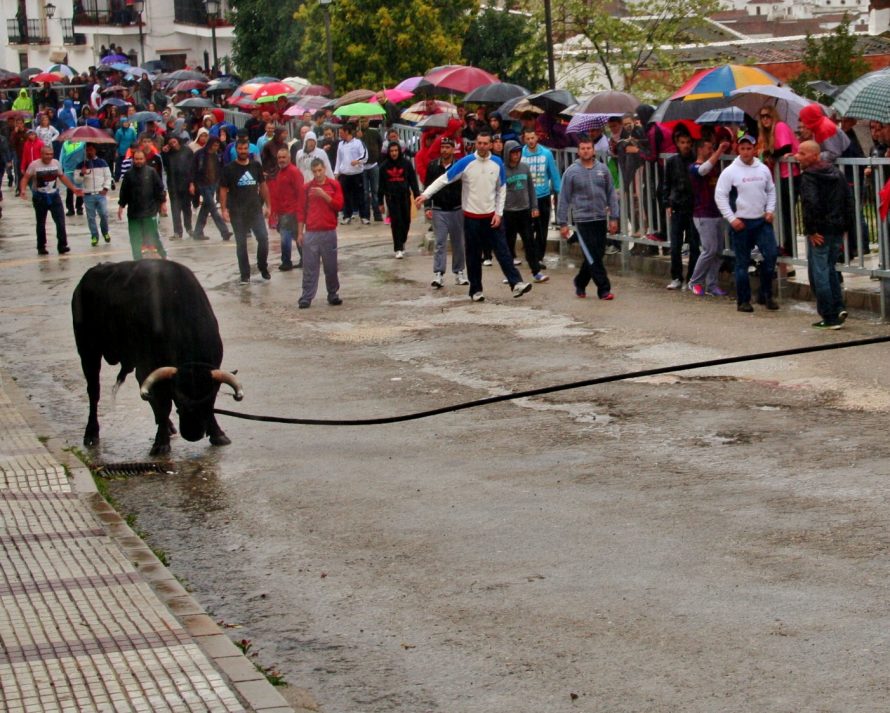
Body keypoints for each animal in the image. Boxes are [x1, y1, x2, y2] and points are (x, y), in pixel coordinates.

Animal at [71, 262, 243, 456]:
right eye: (178, 396)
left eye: (210, 398)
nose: (193, 434)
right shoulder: (148, 366)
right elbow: (163, 404)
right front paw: (161, 443)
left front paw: (218, 434)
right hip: (88, 352)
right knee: (94, 392)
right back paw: (91, 434)